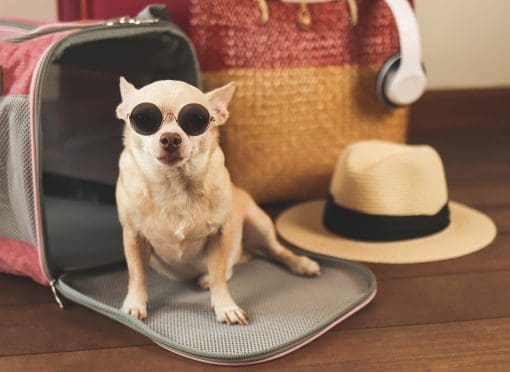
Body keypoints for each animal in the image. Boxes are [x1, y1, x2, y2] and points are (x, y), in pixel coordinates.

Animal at [117, 78, 320, 326]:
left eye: (197, 120)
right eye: (144, 118)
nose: (171, 138)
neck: (173, 186)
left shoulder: (219, 236)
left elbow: (218, 277)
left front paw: (226, 307)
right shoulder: (133, 237)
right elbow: (137, 274)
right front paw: (135, 304)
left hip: (259, 225)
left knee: (273, 252)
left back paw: (302, 264)